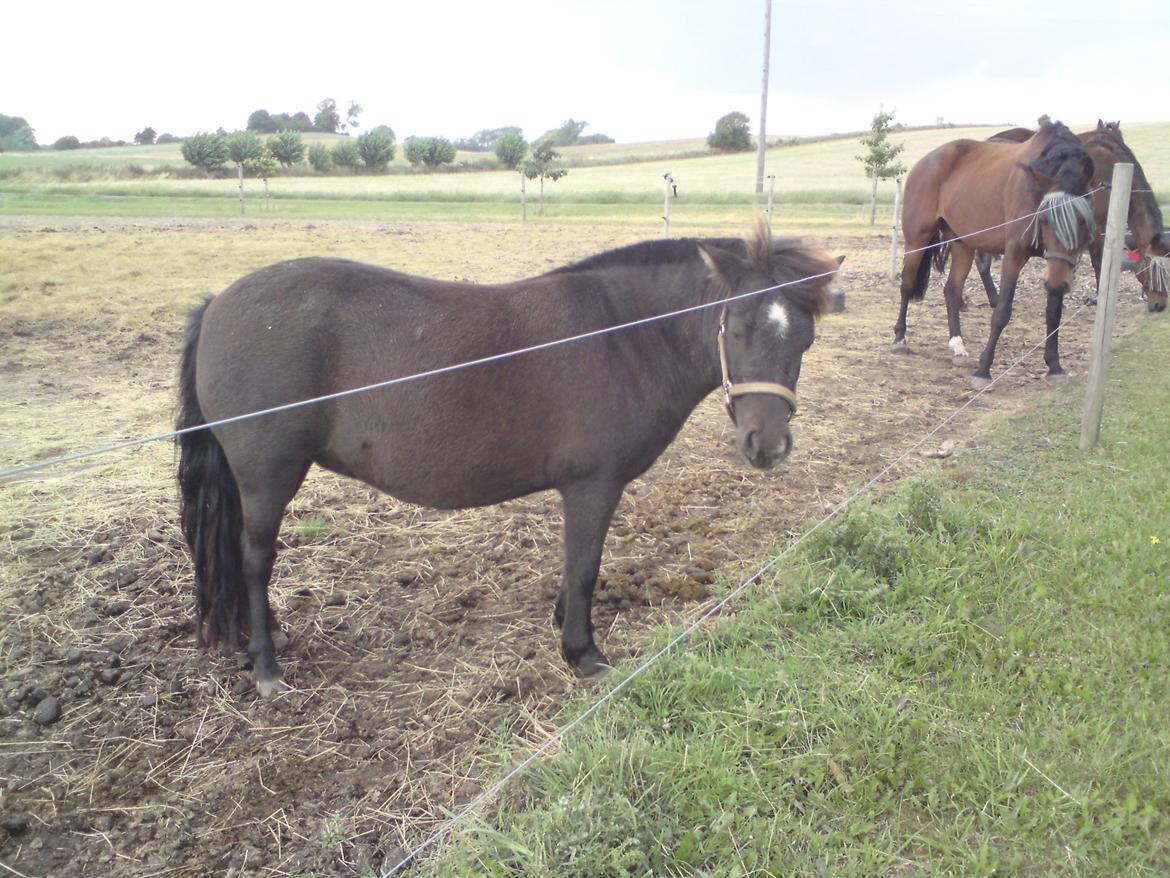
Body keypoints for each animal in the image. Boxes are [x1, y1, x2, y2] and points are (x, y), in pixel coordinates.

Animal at [175, 230, 842, 697]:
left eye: (805, 337)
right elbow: (584, 566)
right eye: (739, 326)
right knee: (255, 561)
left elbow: (574, 565)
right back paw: (266, 664)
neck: (620, 334)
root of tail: (216, 305)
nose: (767, 445)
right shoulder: (593, 484)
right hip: (268, 477)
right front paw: (582, 652)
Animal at [893, 117, 1095, 388]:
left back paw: (958, 346)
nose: (1057, 283)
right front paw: (984, 370)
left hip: (962, 244)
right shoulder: (1014, 255)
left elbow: (1053, 313)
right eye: (1044, 219)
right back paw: (899, 339)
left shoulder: (1057, 264)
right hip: (917, 240)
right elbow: (1002, 312)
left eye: (1083, 221)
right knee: (906, 285)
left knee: (952, 291)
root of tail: (924, 162)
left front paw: (1054, 365)